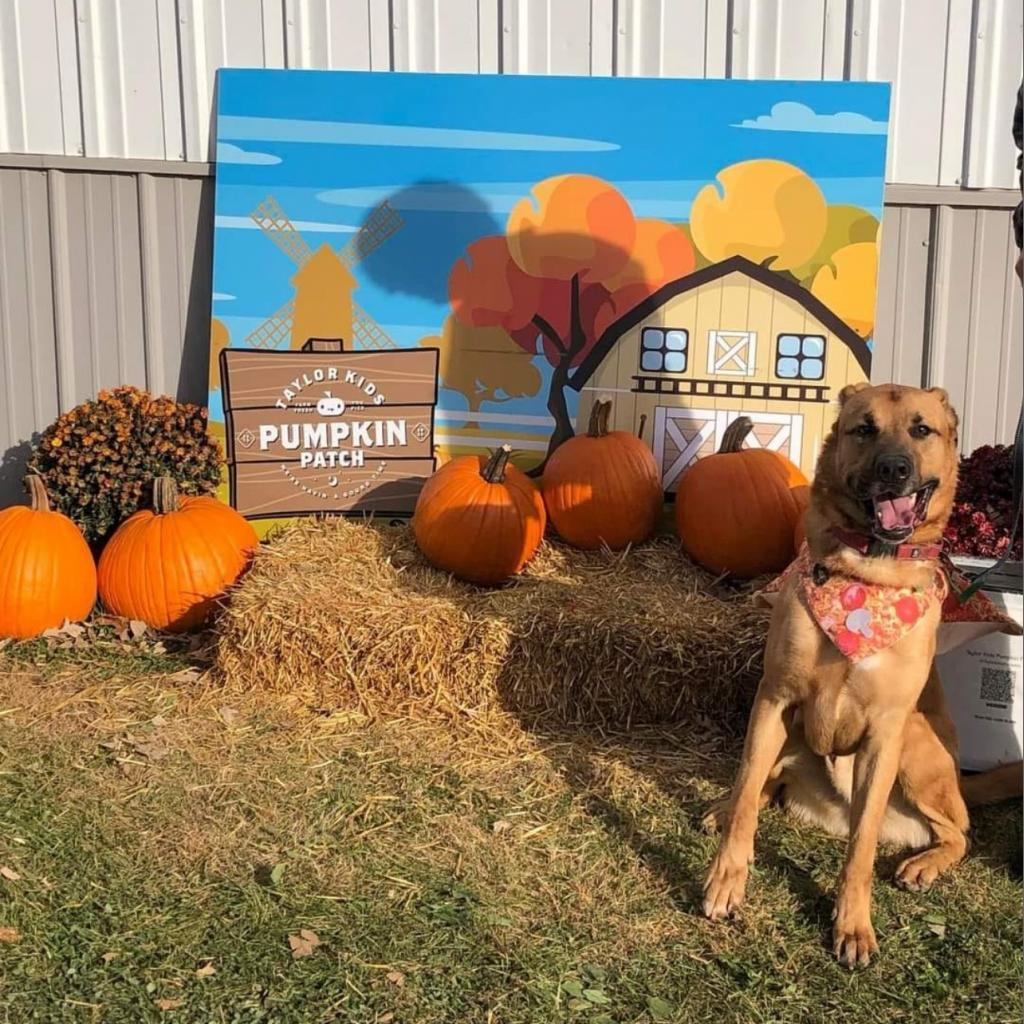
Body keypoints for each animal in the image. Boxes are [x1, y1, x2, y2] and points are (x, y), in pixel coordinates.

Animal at [704, 385, 1015, 966]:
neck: (867, 577)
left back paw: (923, 863)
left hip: (915, 745)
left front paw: (852, 925)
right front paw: (726, 879)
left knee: (960, 833)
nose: (894, 469)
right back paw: (725, 806)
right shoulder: (774, 700)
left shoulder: (884, 732)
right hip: (787, 734)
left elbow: (862, 846)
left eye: (921, 429)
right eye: (863, 429)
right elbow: (747, 796)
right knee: (760, 783)